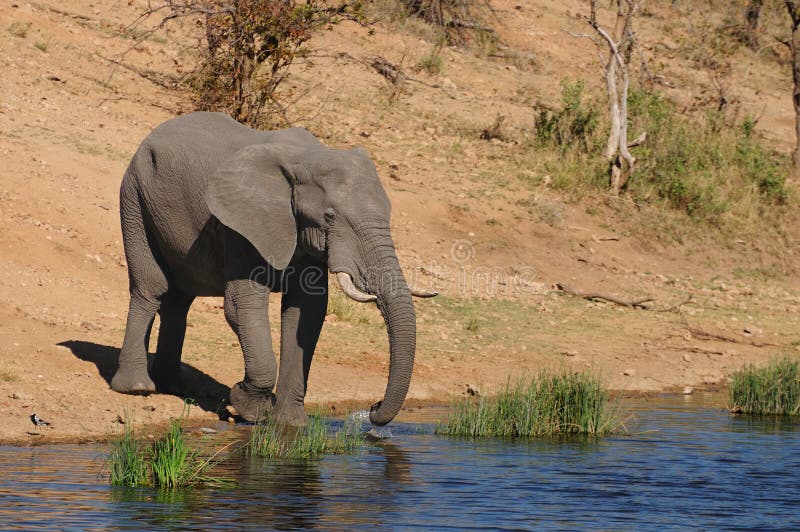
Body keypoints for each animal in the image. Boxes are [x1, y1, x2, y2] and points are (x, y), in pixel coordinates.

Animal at [110, 113, 434, 428]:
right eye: (329, 216)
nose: (372, 408)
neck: (306, 159)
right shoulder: (240, 226)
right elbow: (242, 305)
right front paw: (248, 408)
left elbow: (307, 311)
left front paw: (290, 424)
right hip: (134, 195)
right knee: (151, 288)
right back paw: (137, 387)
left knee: (180, 299)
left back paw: (173, 387)